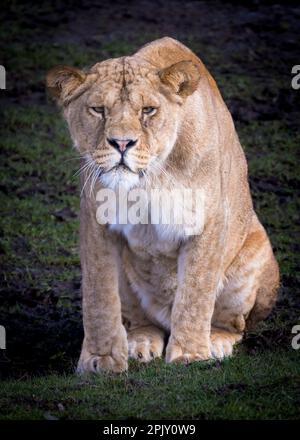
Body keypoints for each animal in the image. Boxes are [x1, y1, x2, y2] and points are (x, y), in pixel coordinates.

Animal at [47, 37, 278, 372]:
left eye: (148, 110)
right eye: (98, 110)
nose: (121, 143)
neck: (150, 178)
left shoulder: (208, 223)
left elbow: (195, 293)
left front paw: (191, 356)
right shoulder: (96, 222)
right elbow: (98, 297)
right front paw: (100, 361)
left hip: (254, 257)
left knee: (234, 324)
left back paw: (216, 341)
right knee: (138, 319)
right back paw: (140, 343)